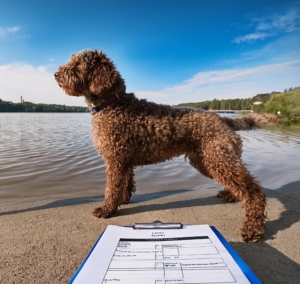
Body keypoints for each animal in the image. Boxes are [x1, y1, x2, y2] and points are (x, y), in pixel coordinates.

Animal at [55, 48, 278, 242]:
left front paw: (107, 209)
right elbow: (125, 184)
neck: (112, 104)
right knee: (240, 185)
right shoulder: (124, 161)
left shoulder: (115, 160)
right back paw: (231, 195)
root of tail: (223, 119)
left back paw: (253, 229)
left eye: (77, 65)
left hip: (218, 159)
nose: (56, 74)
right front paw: (123, 200)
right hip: (208, 161)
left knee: (253, 191)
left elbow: (111, 188)